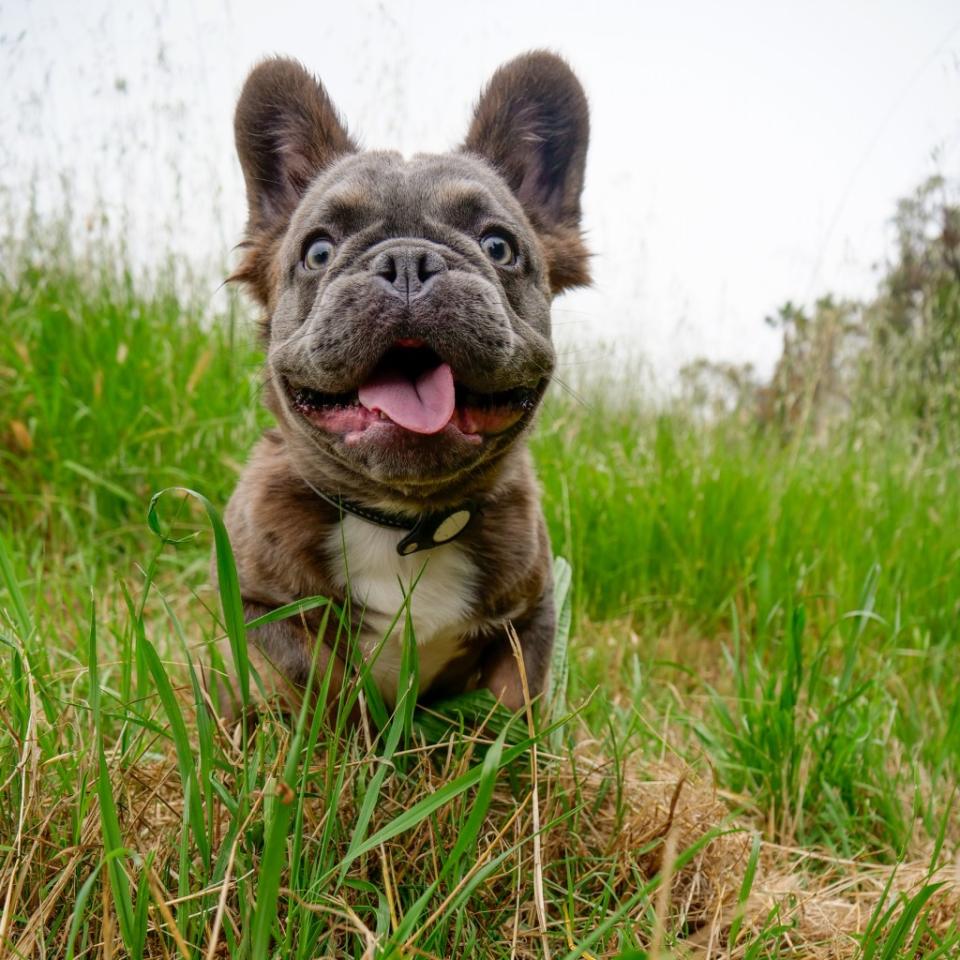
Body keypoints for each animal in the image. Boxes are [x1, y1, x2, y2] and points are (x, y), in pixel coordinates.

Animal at [217, 47, 588, 720]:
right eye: (317, 252)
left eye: (498, 246)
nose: (409, 261)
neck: (403, 523)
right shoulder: (258, 607)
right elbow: (317, 676)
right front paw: (350, 730)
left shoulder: (532, 616)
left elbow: (512, 700)